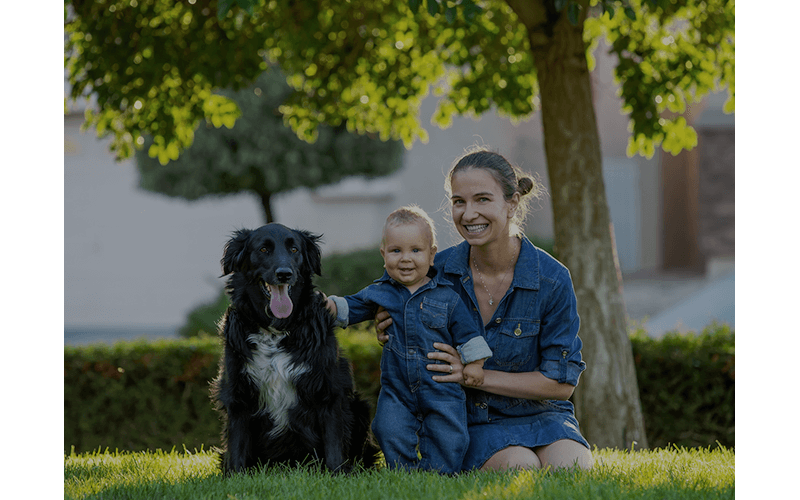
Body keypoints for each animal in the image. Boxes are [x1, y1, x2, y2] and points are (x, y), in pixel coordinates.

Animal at [211, 225, 376, 474]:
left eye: (294, 249)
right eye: (263, 249)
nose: (284, 274)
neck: (276, 332)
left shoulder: (328, 391)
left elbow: (334, 442)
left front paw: (338, 474)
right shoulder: (238, 394)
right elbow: (237, 444)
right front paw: (235, 475)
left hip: (361, 407)